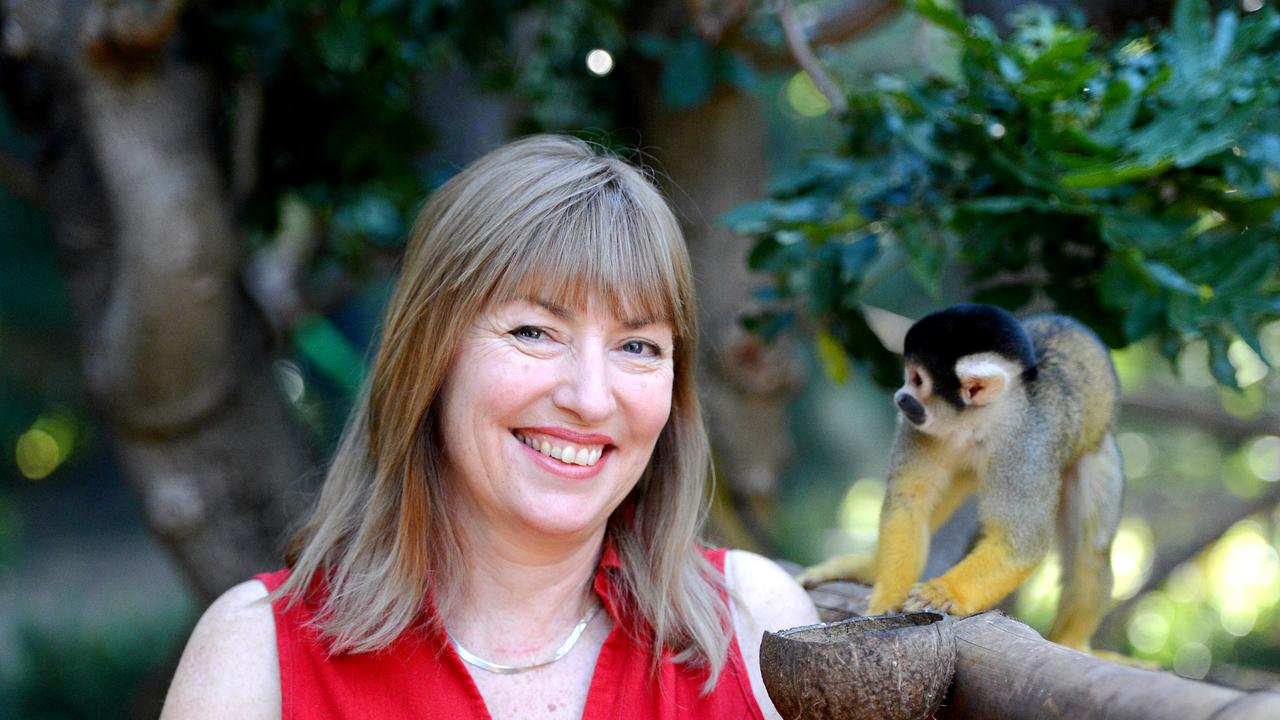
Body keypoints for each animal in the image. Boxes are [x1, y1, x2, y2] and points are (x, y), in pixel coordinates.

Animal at [803, 302, 1126, 650]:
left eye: (917, 380)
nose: (900, 397)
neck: (977, 423)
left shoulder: (1025, 448)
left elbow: (1020, 543)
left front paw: (945, 591)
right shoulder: (920, 427)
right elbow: (909, 502)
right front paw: (885, 600)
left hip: (1096, 451)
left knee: (1091, 547)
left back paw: (1070, 640)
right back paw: (870, 567)